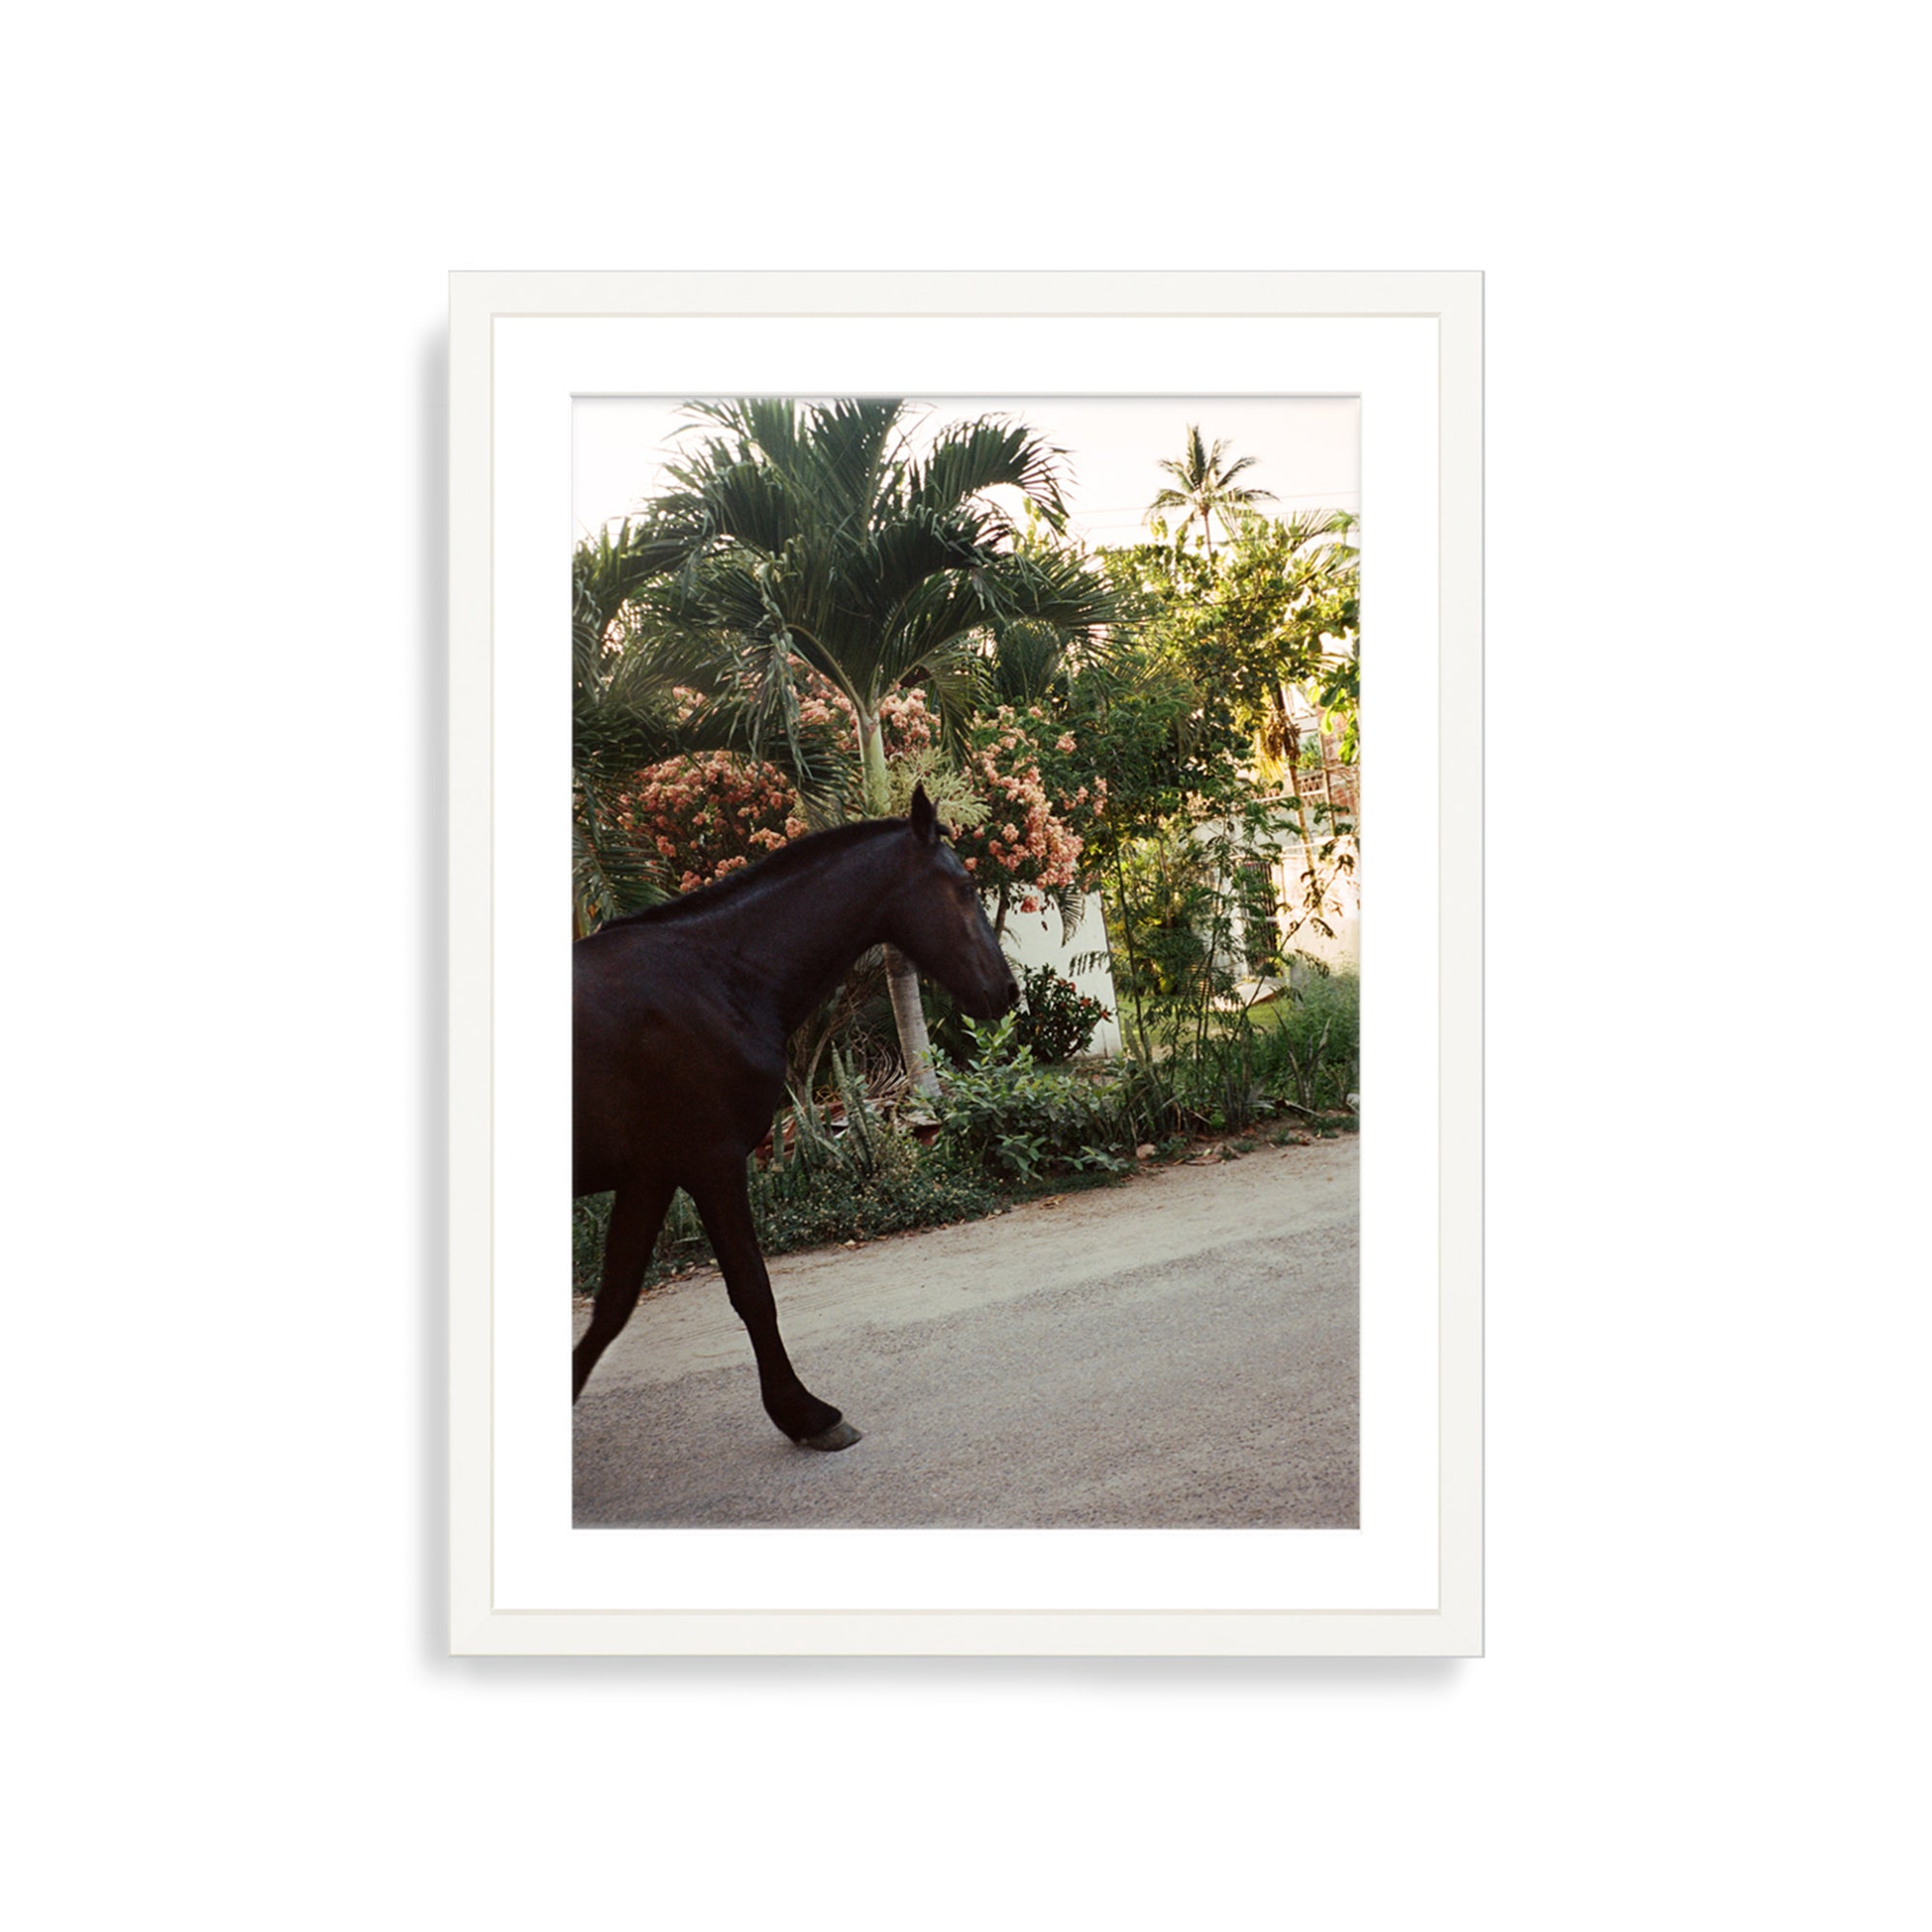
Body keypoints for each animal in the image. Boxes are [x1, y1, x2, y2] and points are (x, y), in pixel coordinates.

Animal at [572, 785, 1019, 1450]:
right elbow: (753, 1291)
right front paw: (804, 1413)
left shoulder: (649, 1174)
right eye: (964, 887)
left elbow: (613, 1305)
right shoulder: (711, 1163)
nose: (1008, 992)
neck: (716, 976)